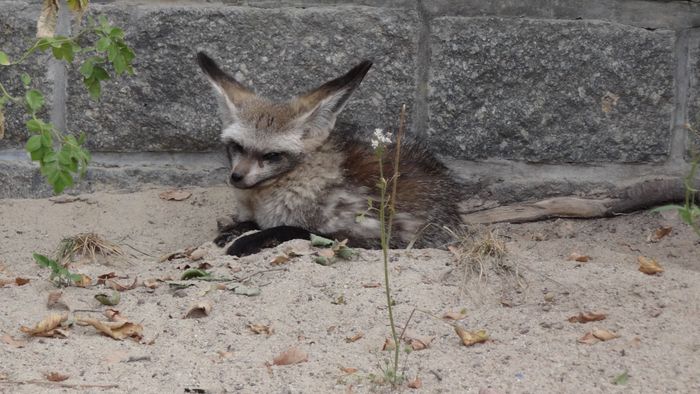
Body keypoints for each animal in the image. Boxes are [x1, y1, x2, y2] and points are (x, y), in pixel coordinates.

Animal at [197, 52, 462, 255]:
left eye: (271, 156)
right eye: (237, 147)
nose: (236, 177)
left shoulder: (374, 235)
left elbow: (292, 230)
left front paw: (247, 240)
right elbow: (254, 222)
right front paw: (234, 228)